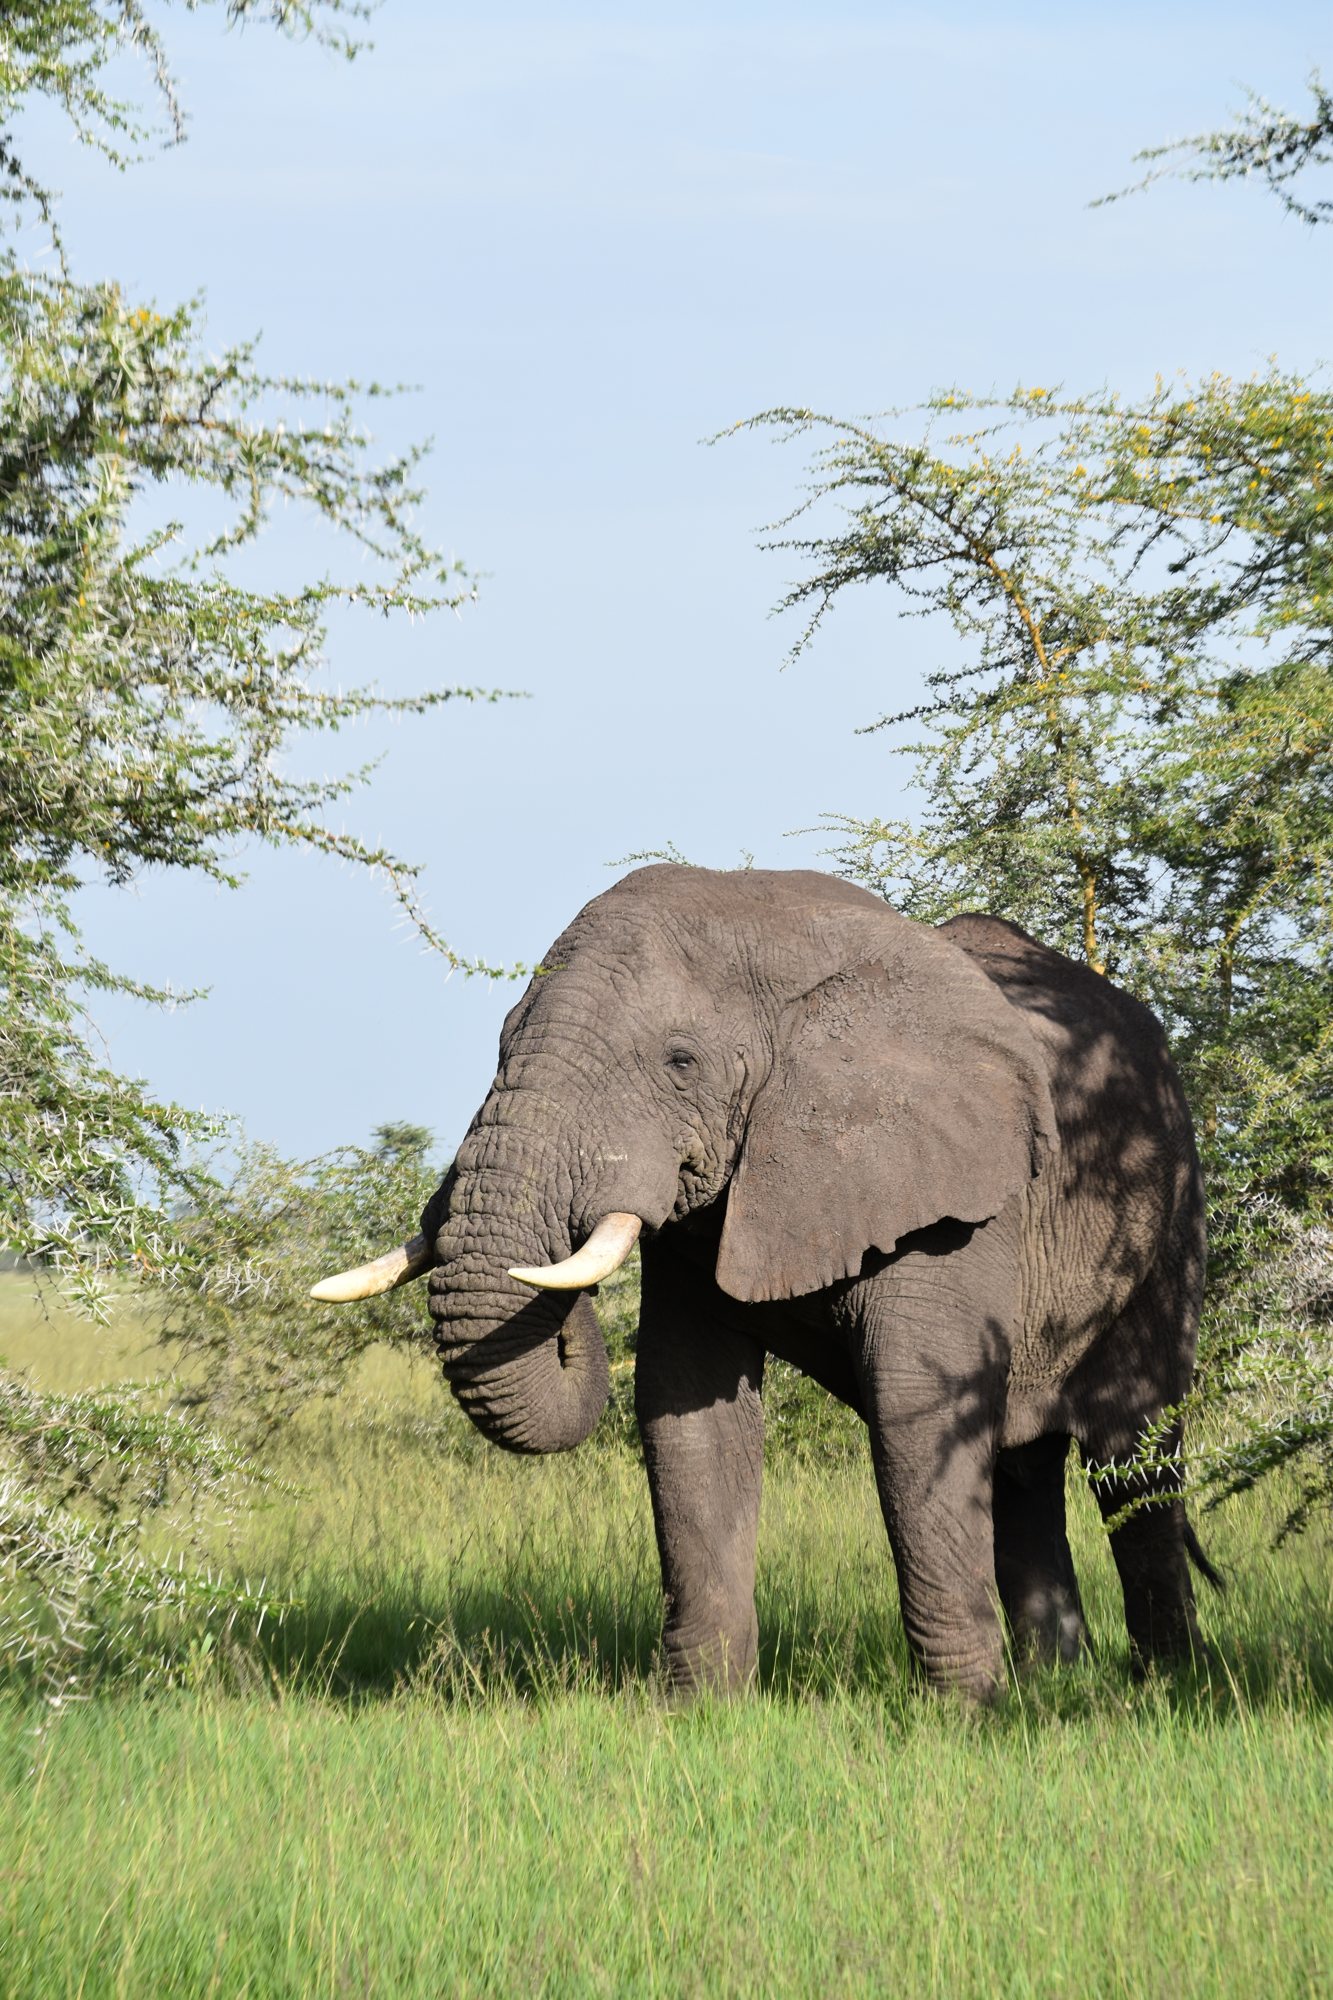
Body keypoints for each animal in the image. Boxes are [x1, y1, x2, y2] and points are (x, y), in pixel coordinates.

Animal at [314, 865, 1218, 1702]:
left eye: (680, 1062)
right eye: (501, 1044)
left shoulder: (956, 1194)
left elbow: (916, 1403)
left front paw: (966, 1716)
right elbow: (685, 1406)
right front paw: (697, 1710)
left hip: (1165, 1213)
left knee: (1132, 1453)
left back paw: (1166, 1684)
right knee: (1022, 1466)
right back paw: (1055, 1681)